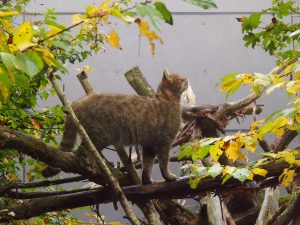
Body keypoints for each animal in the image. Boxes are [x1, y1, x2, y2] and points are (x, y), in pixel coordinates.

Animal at [42, 70, 188, 185]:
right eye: (181, 79)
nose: (186, 79)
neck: (167, 99)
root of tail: (78, 102)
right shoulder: (164, 142)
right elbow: (163, 163)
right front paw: (168, 177)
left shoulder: (149, 145)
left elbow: (147, 166)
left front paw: (147, 181)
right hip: (99, 137)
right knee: (82, 152)